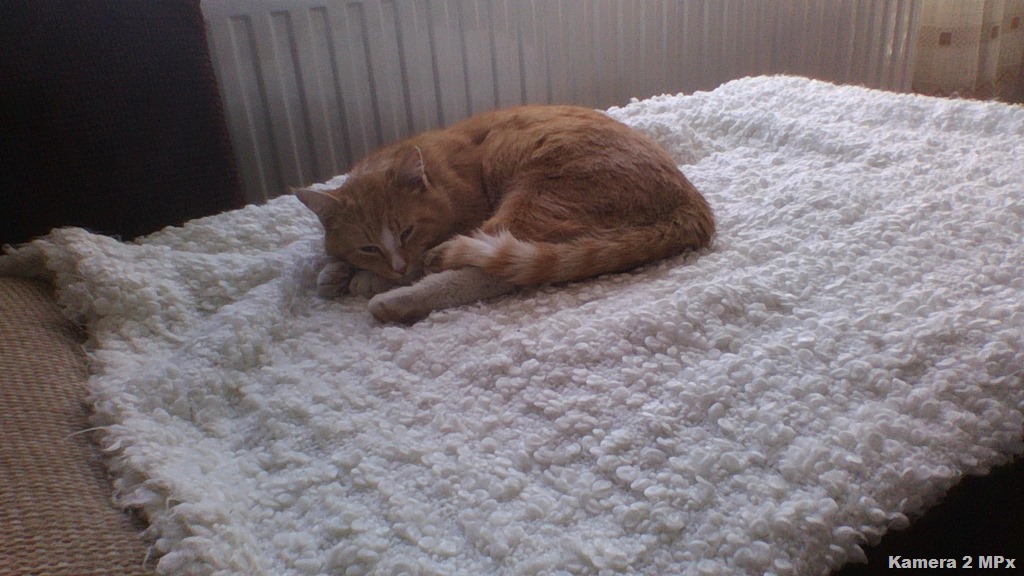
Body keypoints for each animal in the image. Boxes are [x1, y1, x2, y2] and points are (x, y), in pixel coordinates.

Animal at [295, 105, 715, 323]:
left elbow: (426, 262)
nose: (395, 267)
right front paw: (336, 270)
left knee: (489, 271)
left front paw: (367, 278)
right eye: (367, 246)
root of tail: (693, 204)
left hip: (534, 198)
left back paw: (397, 300)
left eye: (407, 232)